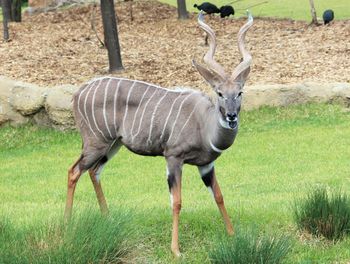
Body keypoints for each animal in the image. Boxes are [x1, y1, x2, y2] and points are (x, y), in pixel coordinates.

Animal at [64, 11, 253, 256]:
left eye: (239, 92)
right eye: (219, 93)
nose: (231, 116)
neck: (205, 124)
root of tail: (78, 93)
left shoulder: (206, 164)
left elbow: (219, 196)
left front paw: (232, 235)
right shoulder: (173, 157)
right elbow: (177, 201)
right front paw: (176, 250)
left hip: (113, 145)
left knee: (94, 172)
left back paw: (108, 219)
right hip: (95, 142)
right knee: (74, 171)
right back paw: (67, 225)